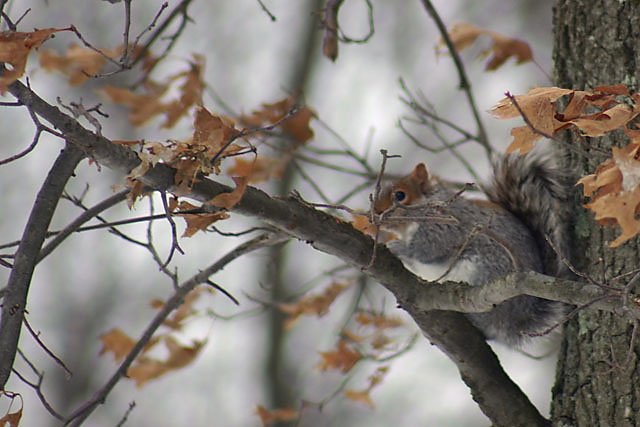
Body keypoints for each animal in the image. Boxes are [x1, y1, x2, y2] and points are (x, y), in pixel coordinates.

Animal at [374, 152, 573, 346]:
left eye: (400, 196)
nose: (375, 213)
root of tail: (519, 320)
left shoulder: (443, 227)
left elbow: (427, 249)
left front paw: (397, 246)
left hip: (483, 274)